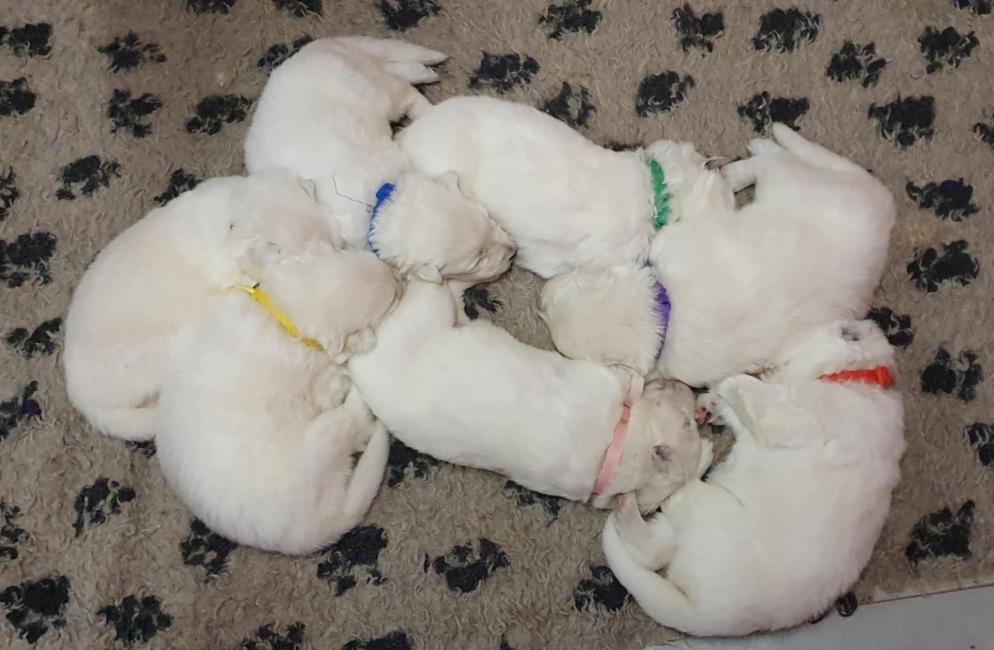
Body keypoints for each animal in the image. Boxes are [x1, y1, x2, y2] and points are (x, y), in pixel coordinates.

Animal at [156, 243, 398, 554]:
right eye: (390, 301)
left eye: (351, 252)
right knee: (352, 425)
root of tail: (304, 536)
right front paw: (362, 342)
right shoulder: (319, 379)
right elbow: (333, 377)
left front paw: (258, 253)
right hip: (321, 443)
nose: (396, 276)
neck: (282, 312)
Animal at [244, 36, 515, 283]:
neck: (380, 201)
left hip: (375, 89)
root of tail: (310, 49)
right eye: (478, 260)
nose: (513, 252)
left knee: (402, 87)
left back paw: (424, 81)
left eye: (487, 216)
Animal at [348, 280, 704, 512]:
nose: (688, 390)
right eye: (687, 424)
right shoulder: (604, 378)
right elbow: (628, 377)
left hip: (419, 317)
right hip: (421, 314)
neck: (615, 451)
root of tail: (359, 364)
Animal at [602, 319, 905, 636]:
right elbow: (742, 411)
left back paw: (684, 462)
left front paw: (726, 381)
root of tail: (706, 615)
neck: (851, 375)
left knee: (676, 499)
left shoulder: (791, 417)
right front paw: (714, 402)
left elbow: (750, 390)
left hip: (709, 507)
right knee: (648, 549)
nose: (769, 364)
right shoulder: (756, 426)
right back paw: (628, 503)